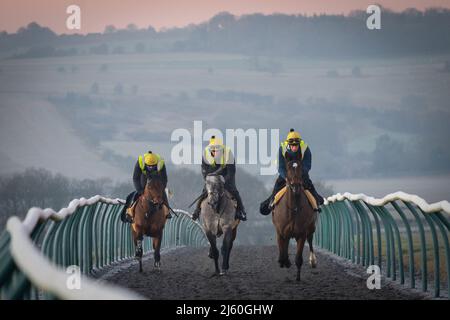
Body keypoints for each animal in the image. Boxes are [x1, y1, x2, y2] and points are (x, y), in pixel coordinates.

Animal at [270, 154, 316, 282]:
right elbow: (282, 251)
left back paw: (313, 261)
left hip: (311, 227)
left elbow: (298, 258)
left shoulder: (302, 234)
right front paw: (284, 261)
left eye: (300, 168)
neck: (293, 209)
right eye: (288, 168)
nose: (295, 186)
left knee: (310, 240)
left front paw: (298, 277)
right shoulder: (280, 231)